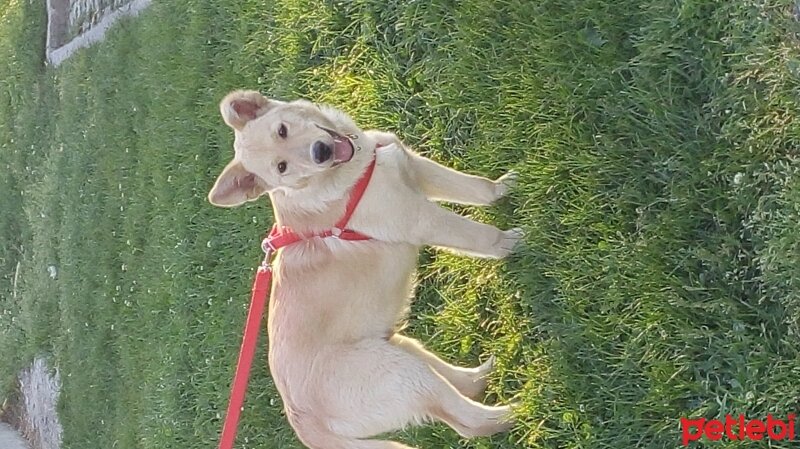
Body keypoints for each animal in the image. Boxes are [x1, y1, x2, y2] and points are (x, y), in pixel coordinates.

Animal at [208, 91, 520, 448]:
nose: (321, 152)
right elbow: (477, 234)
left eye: (282, 131)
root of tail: (302, 422)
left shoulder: (415, 167)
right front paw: (510, 243)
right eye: (281, 168)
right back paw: (520, 408)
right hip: (398, 373)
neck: (349, 173)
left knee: (457, 385)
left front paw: (503, 187)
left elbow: (477, 188)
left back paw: (483, 374)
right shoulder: (419, 218)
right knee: (468, 422)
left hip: (396, 348)